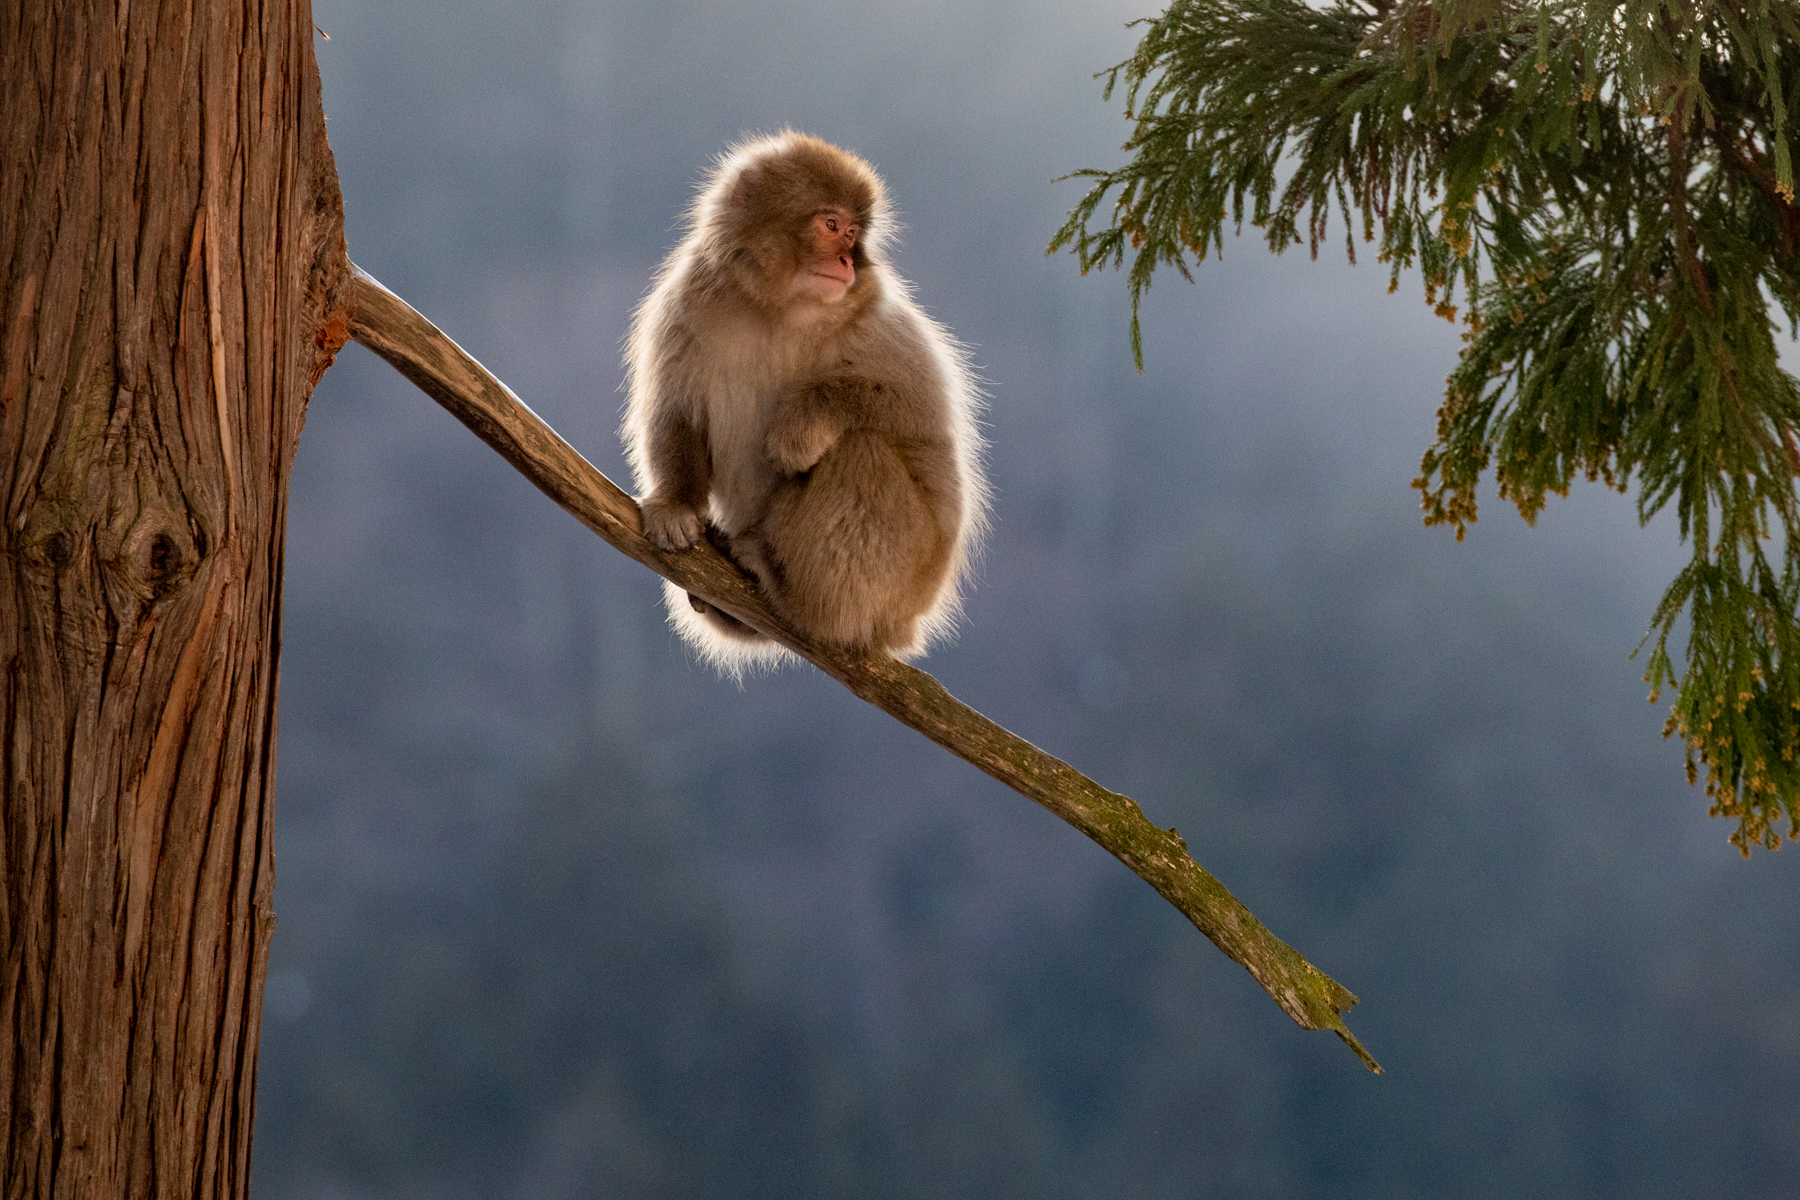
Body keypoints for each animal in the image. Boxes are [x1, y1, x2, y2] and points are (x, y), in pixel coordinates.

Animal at [619, 134, 986, 676]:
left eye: (852, 233)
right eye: (831, 226)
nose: (848, 262)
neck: (780, 310)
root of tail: (909, 621)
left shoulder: (876, 319)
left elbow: (918, 415)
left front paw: (800, 426)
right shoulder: (687, 303)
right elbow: (677, 412)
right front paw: (676, 505)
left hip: (904, 574)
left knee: (861, 451)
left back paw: (795, 596)